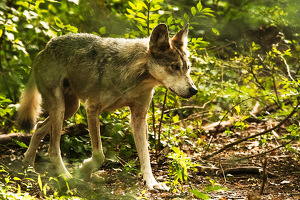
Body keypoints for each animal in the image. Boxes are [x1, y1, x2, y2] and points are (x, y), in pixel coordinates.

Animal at [17, 22, 198, 190]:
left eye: (187, 68)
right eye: (174, 67)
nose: (194, 90)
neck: (133, 77)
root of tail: (44, 50)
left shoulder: (139, 118)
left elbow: (145, 155)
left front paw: (152, 182)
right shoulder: (92, 110)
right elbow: (99, 155)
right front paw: (84, 169)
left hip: (69, 109)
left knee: (39, 127)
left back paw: (27, 164)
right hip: (61, 109)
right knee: (53, 149)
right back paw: (66, 176)